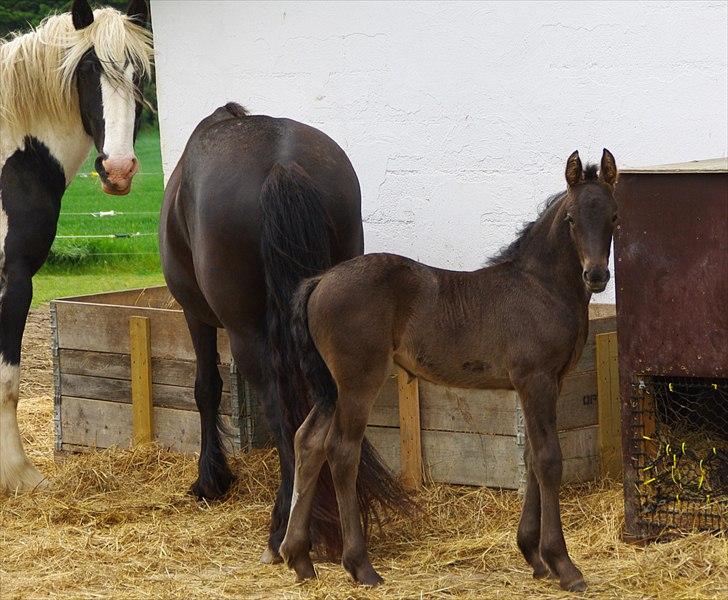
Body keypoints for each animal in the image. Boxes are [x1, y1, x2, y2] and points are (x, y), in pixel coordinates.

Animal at [0, 2, 152, 494]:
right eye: (88, 69)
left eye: (140, 72)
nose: (118, 170)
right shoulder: (15, 277)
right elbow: (7, 380)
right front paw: (20, 475)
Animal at [282, 150, 616, 592]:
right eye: (572, 219)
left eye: (613, 217)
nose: (596, 275)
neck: (541, 287)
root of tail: (320, 279)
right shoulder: (536, 379)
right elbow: (547, 458)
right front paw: (563, 563)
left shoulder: (550, 383)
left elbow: (530, 454)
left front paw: (532, 553)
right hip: (358, 381)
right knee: (341, 450)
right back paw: (360, 565)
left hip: (332, 387)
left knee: (308, 442)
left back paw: (299, 557)